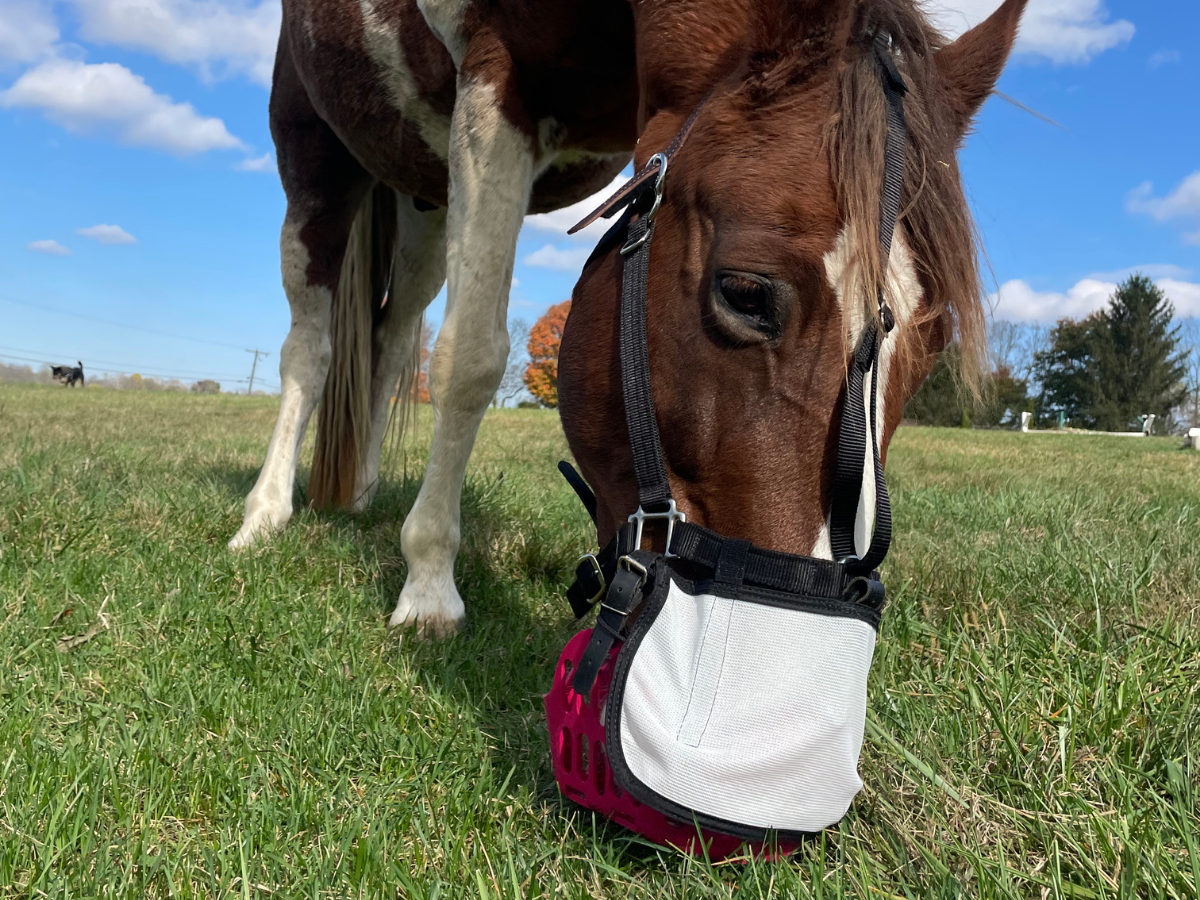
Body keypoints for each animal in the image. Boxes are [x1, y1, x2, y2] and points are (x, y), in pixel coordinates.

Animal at [230, 0, 1027, 638]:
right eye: (745, 293)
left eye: (936, 339)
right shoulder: (497, 84)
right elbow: (469, 359)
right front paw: (428, 586)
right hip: (317, 154)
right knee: (311, 348)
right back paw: (264, 514)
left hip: (423, 195)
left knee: (392, 342)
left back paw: (360, 493)